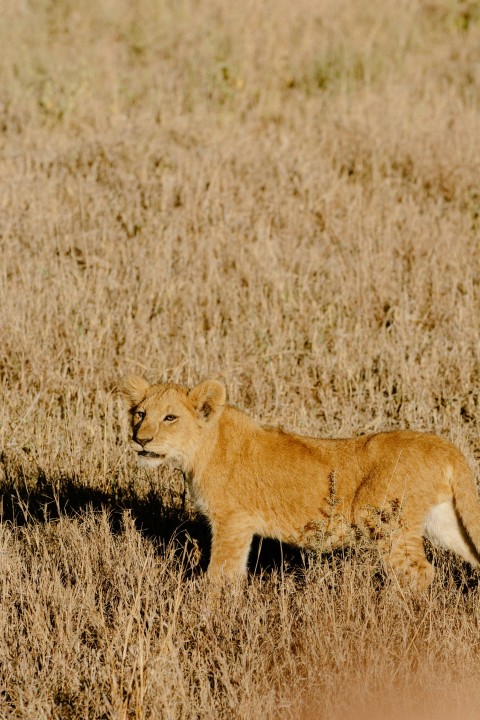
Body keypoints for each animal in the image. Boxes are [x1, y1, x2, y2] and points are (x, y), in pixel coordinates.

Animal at [118, 375, 480, 589]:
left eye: (170, 417)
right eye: (139, 413)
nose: (140, 439)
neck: (200, 449)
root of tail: (446, 447)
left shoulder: (233, 521)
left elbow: (221, 575)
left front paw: (209, 619)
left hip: (382, 520)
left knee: (419, 572)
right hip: (445, 523)